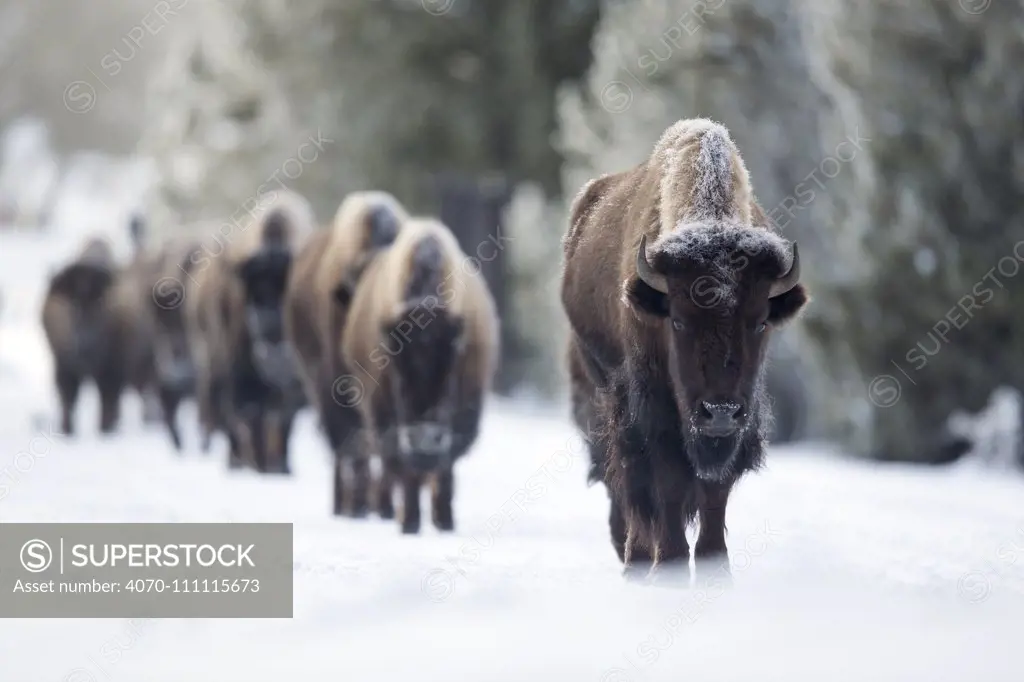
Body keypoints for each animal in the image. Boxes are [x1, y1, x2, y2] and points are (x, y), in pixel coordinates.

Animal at [184, 188, 311, 471]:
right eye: (255, 297)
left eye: (292, 298)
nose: (277, 357)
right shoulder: (238, 375)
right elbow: (248, 415)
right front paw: (257, 463)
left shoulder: (295, 387)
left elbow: (282, 419)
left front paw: (280, 467)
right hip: (211, 362)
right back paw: (238, 460)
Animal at [339, 216, 499, 532]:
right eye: (400, 380)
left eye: (449, 379)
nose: (424, 445)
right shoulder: (386, 415)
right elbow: (404, 468)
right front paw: (409, 521)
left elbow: (446, 467)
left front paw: (445, 520)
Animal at [561, 119, 806, 581]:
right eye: (677, 320)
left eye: (760, 321)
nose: (720, 412)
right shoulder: (652, 408)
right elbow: (666, 480)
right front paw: (669, 565)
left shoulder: (737, 425)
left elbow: (714, 489)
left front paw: (715, 567)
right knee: (627, 482)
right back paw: (636, 559)